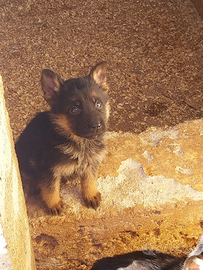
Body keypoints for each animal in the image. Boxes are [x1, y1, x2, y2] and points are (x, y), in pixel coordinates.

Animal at [15, 62, 110, 214]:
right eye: (74, 110)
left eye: (98, 104)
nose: (96, 126)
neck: (80, 143)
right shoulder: (48, 170)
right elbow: (50, 189)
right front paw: (54, 204)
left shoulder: (90, 164)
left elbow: (89, 180)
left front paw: (90, 195)